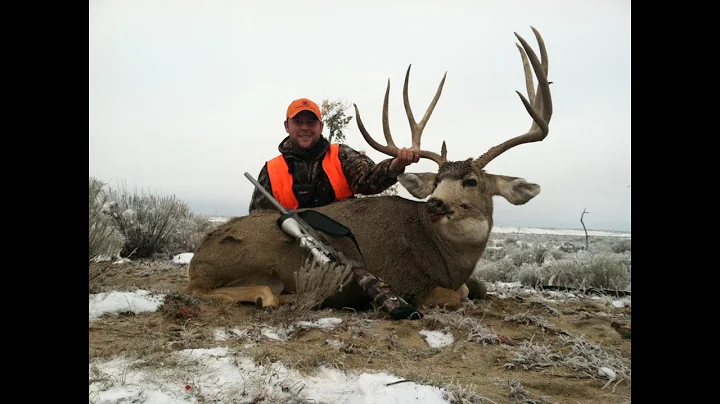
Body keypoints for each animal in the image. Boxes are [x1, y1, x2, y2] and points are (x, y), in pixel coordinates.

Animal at [186, 26, 552, 314]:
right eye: (438, 180)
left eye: (471, 181)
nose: (435, 203)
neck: (447, 257)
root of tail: (197, 257)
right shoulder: (412, 284)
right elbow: (458, 295)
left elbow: (474, 288)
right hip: (248, 256)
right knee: (216, 290)